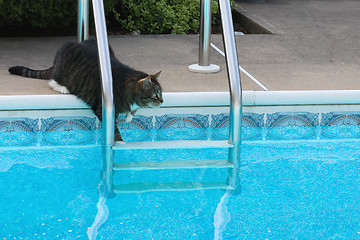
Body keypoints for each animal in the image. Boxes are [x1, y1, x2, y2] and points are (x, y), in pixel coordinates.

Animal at [8, 38, 163, 142]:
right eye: (155, 95)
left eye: (161, 92)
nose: (162, 100)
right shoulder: (103, 108)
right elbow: (114, 130)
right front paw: (120, 143)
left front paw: (130, 115)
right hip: (62, 67)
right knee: (52, 80)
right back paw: (63, 88)